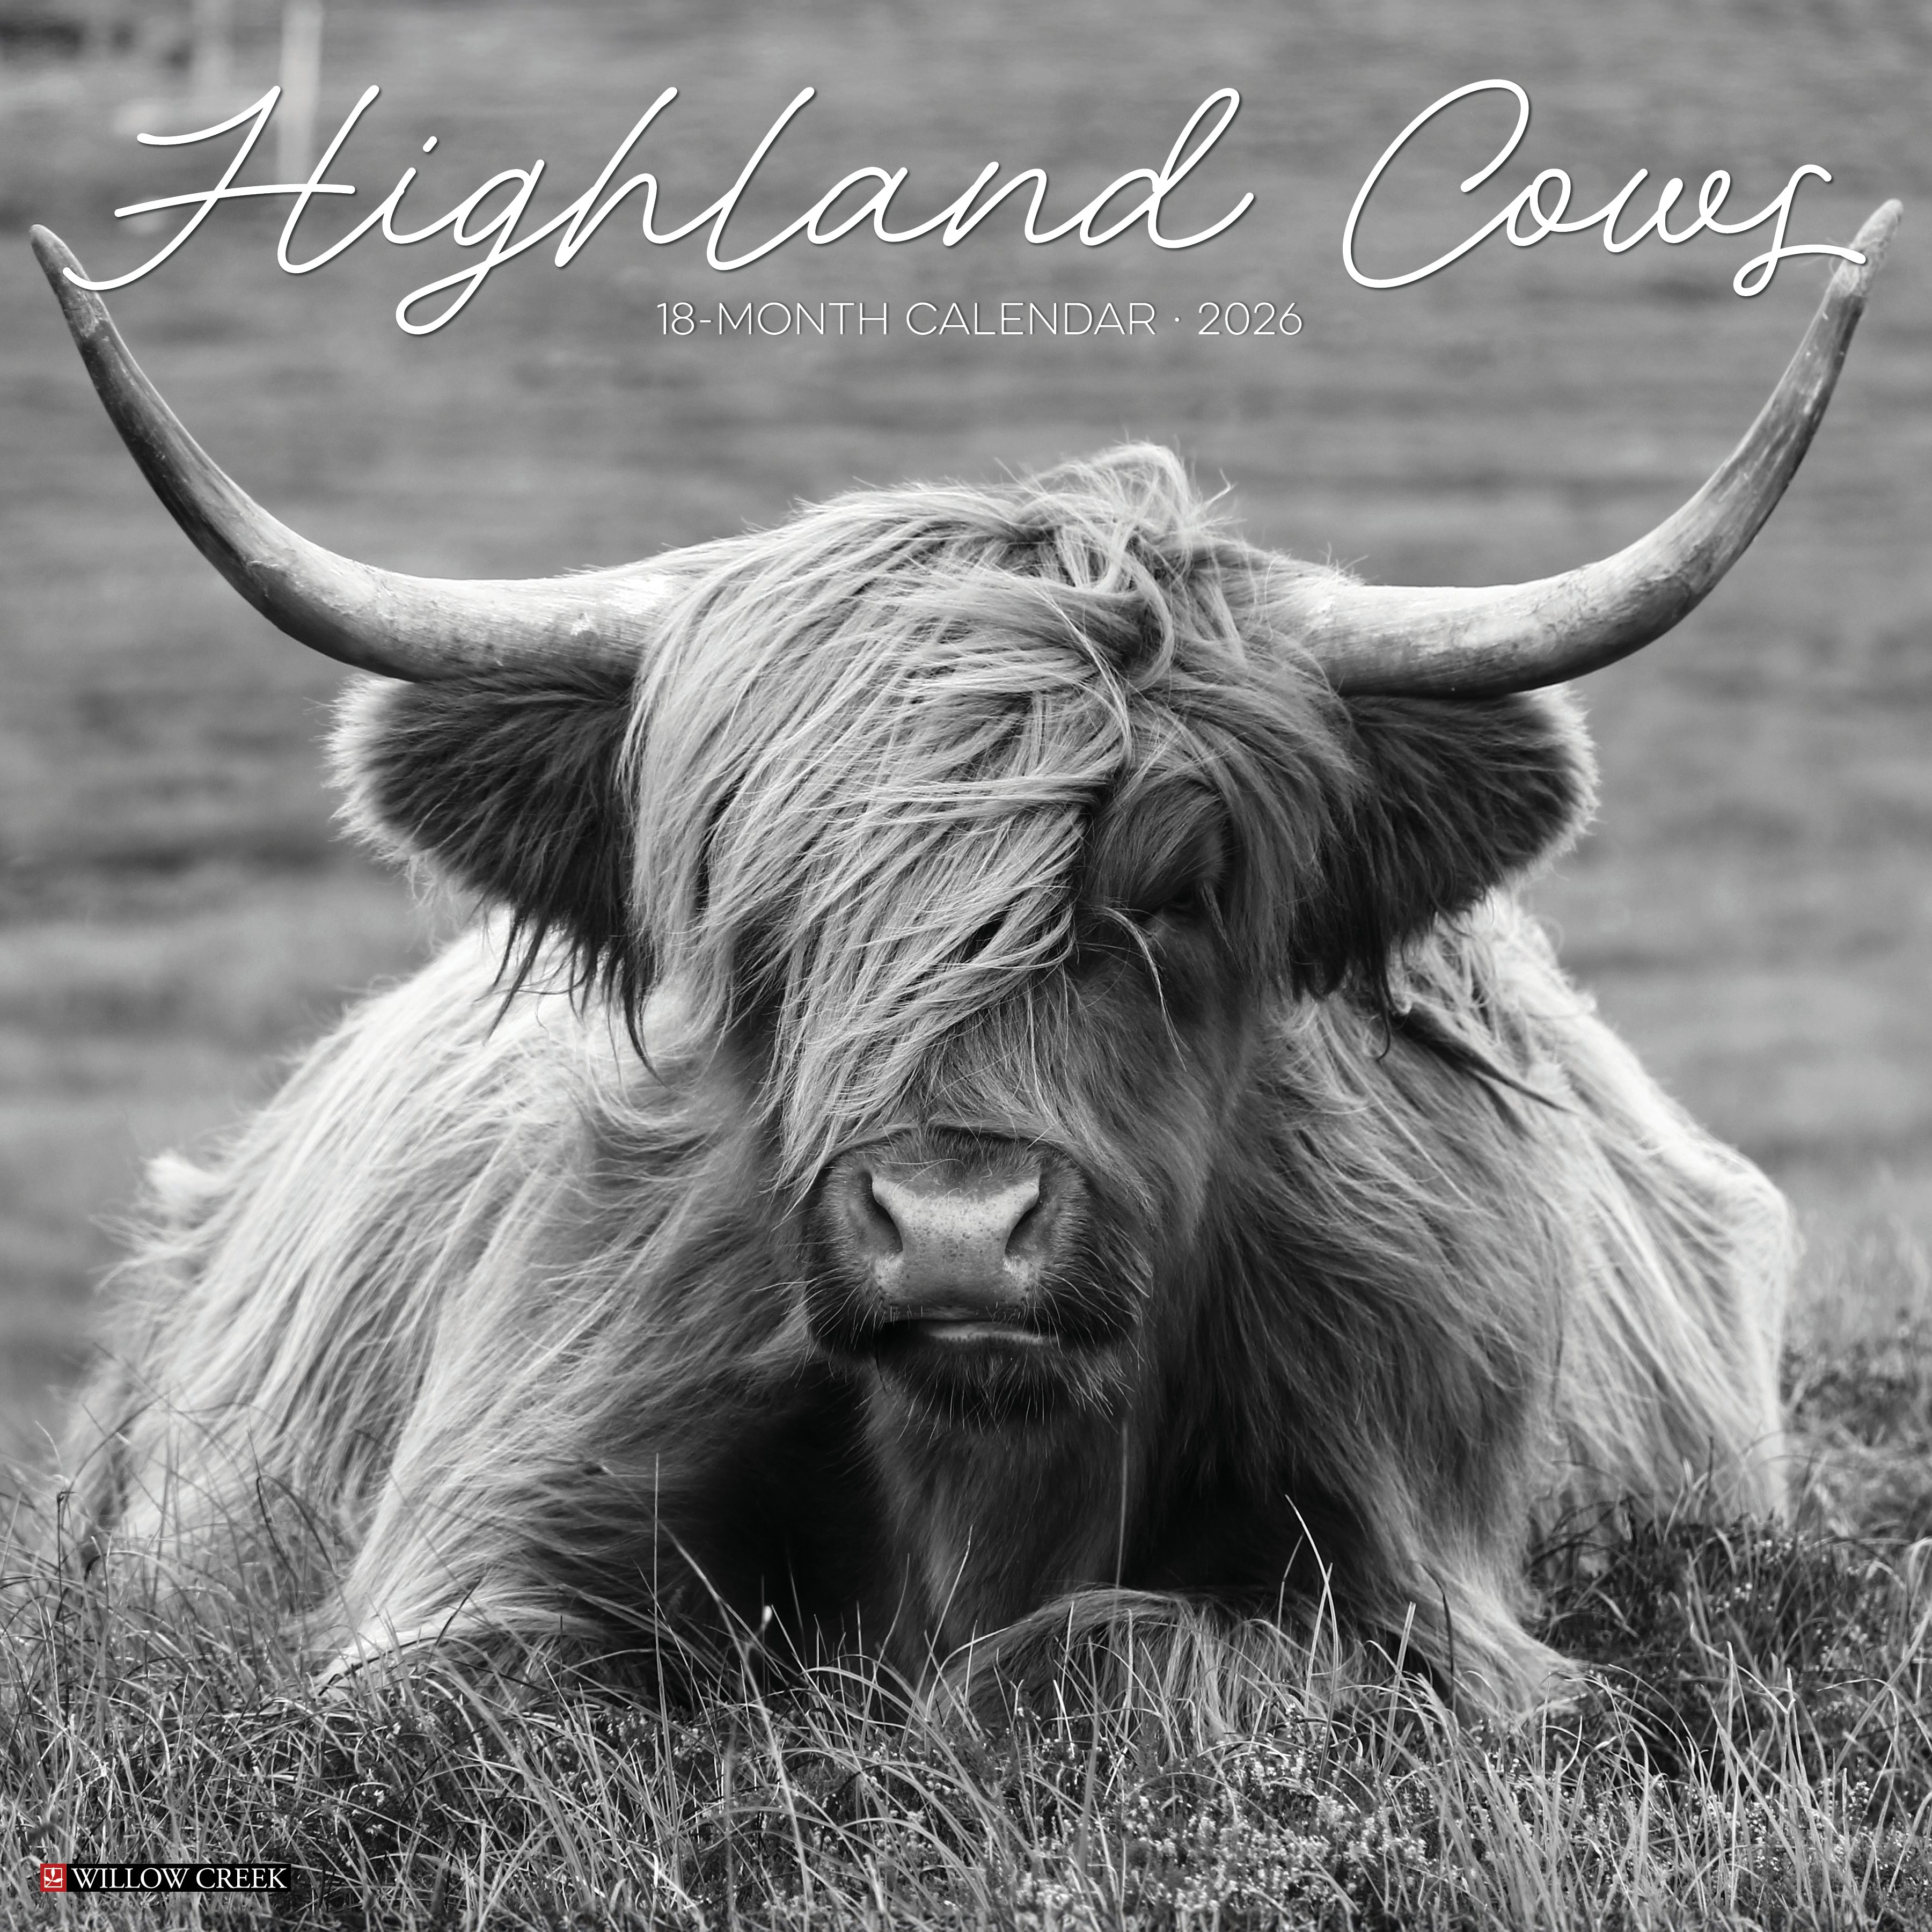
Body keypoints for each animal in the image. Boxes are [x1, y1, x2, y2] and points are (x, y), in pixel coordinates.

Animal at [28, 203, 1898, 1717]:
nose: (950, 1228)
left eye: (1184, 886)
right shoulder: (471, 1557)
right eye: (751, 904)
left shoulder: (1438, 1604)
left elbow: (1111, 1649)